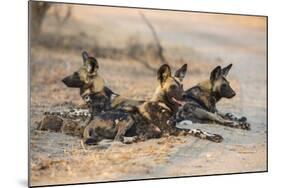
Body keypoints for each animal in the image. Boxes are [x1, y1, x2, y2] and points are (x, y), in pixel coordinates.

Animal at [83, 64, 223, 145]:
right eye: (173, 87)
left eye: (182, 86)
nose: (184, 95)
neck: (164, 105)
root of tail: (91, 122)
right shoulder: (169, 130)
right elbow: (196, 129)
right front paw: (212, 136)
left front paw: (214, 135)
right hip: (128, 117)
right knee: (118, 139)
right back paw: (134, 138)